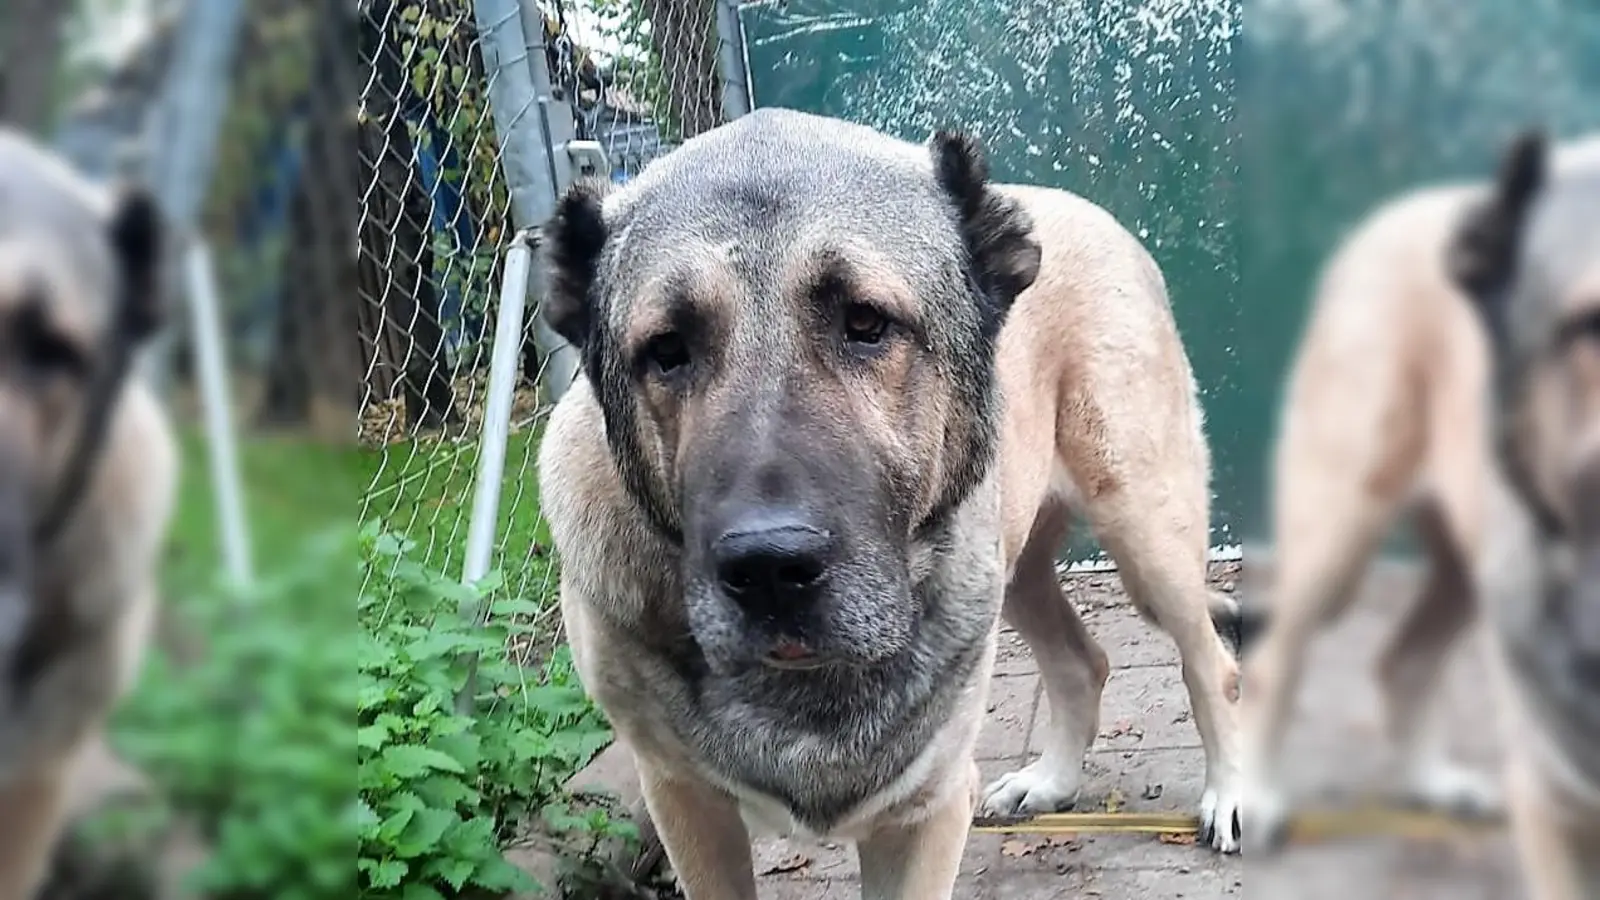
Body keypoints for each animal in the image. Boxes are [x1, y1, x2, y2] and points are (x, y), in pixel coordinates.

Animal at [544, 103, 1241, 890]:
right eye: (666, 350)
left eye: (867, 323)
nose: (768, 569)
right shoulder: (685, 802)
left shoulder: (925, 812)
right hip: (1018, 566)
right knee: (1081, 662)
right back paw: (1050, 783)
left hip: (1145, 530)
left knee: (1212, 663)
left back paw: (1229, 793)